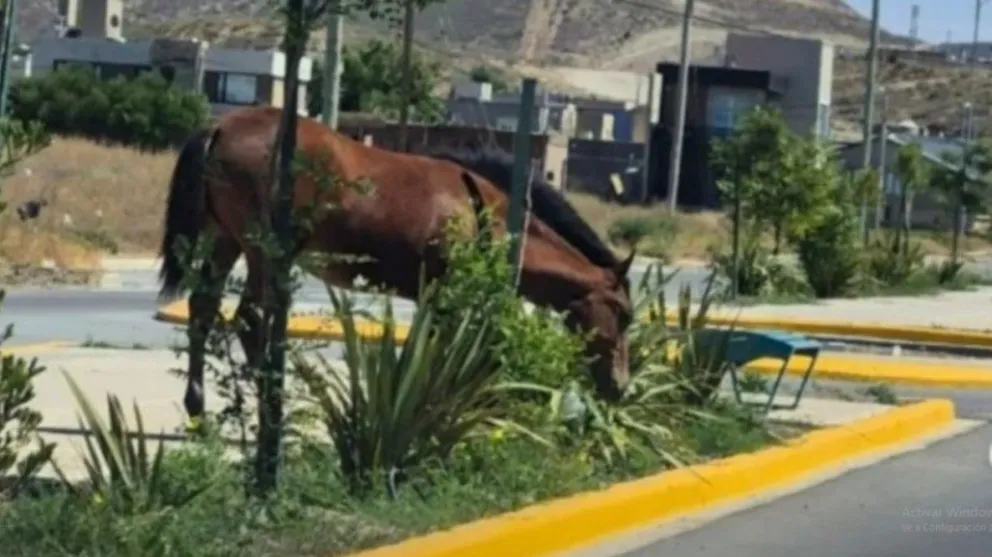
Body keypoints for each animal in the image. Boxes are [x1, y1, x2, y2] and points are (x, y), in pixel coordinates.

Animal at [157, 105, 636, 419]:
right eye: (624, 313)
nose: (620, 386)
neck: (486, 213)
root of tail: (220, 125)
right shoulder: (447, 298)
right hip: (264, 252)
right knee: (249, 319)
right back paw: (275, 404)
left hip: (225, 242)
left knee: (203, 310)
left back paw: (197, 407)